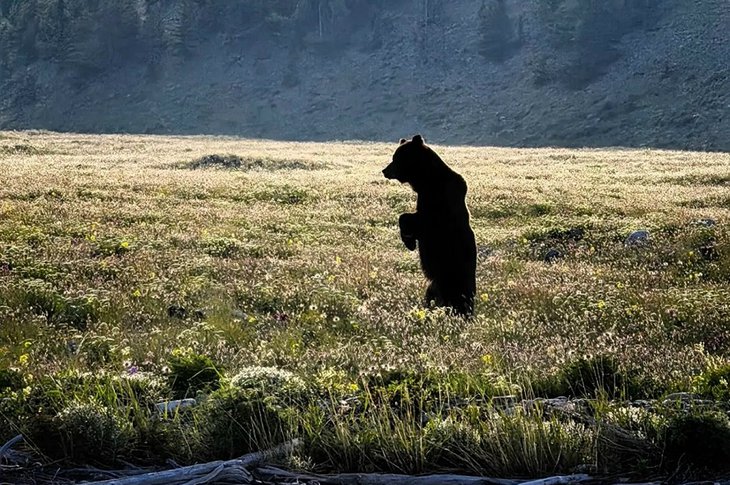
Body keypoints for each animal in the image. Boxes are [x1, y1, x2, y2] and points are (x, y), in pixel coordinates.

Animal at [382, 135, 477, 316]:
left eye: (397, 158)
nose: (384, 170)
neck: (426, 181)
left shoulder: (438, 210)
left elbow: (410, 219)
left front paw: (409, 240)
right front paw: (409, 240)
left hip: (452, 277)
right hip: (434, 286)